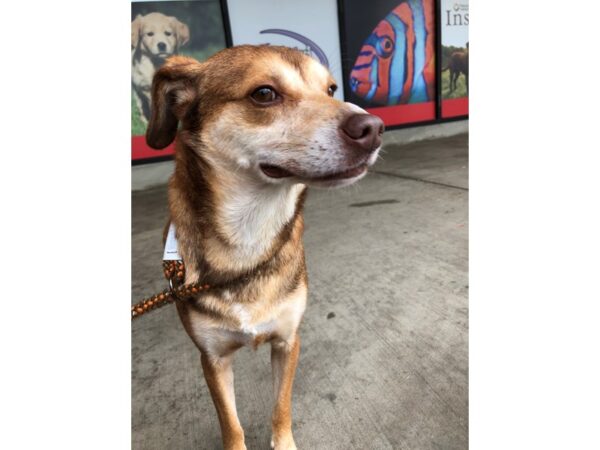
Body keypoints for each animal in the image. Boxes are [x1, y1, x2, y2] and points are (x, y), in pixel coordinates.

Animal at [144, 43, 384, 450]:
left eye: (331, 89)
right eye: (264, 94)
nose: (373, 128)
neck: (249, 235)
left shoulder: (288, 341)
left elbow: (281, 406)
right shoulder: (212, 358)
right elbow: (231, 424)